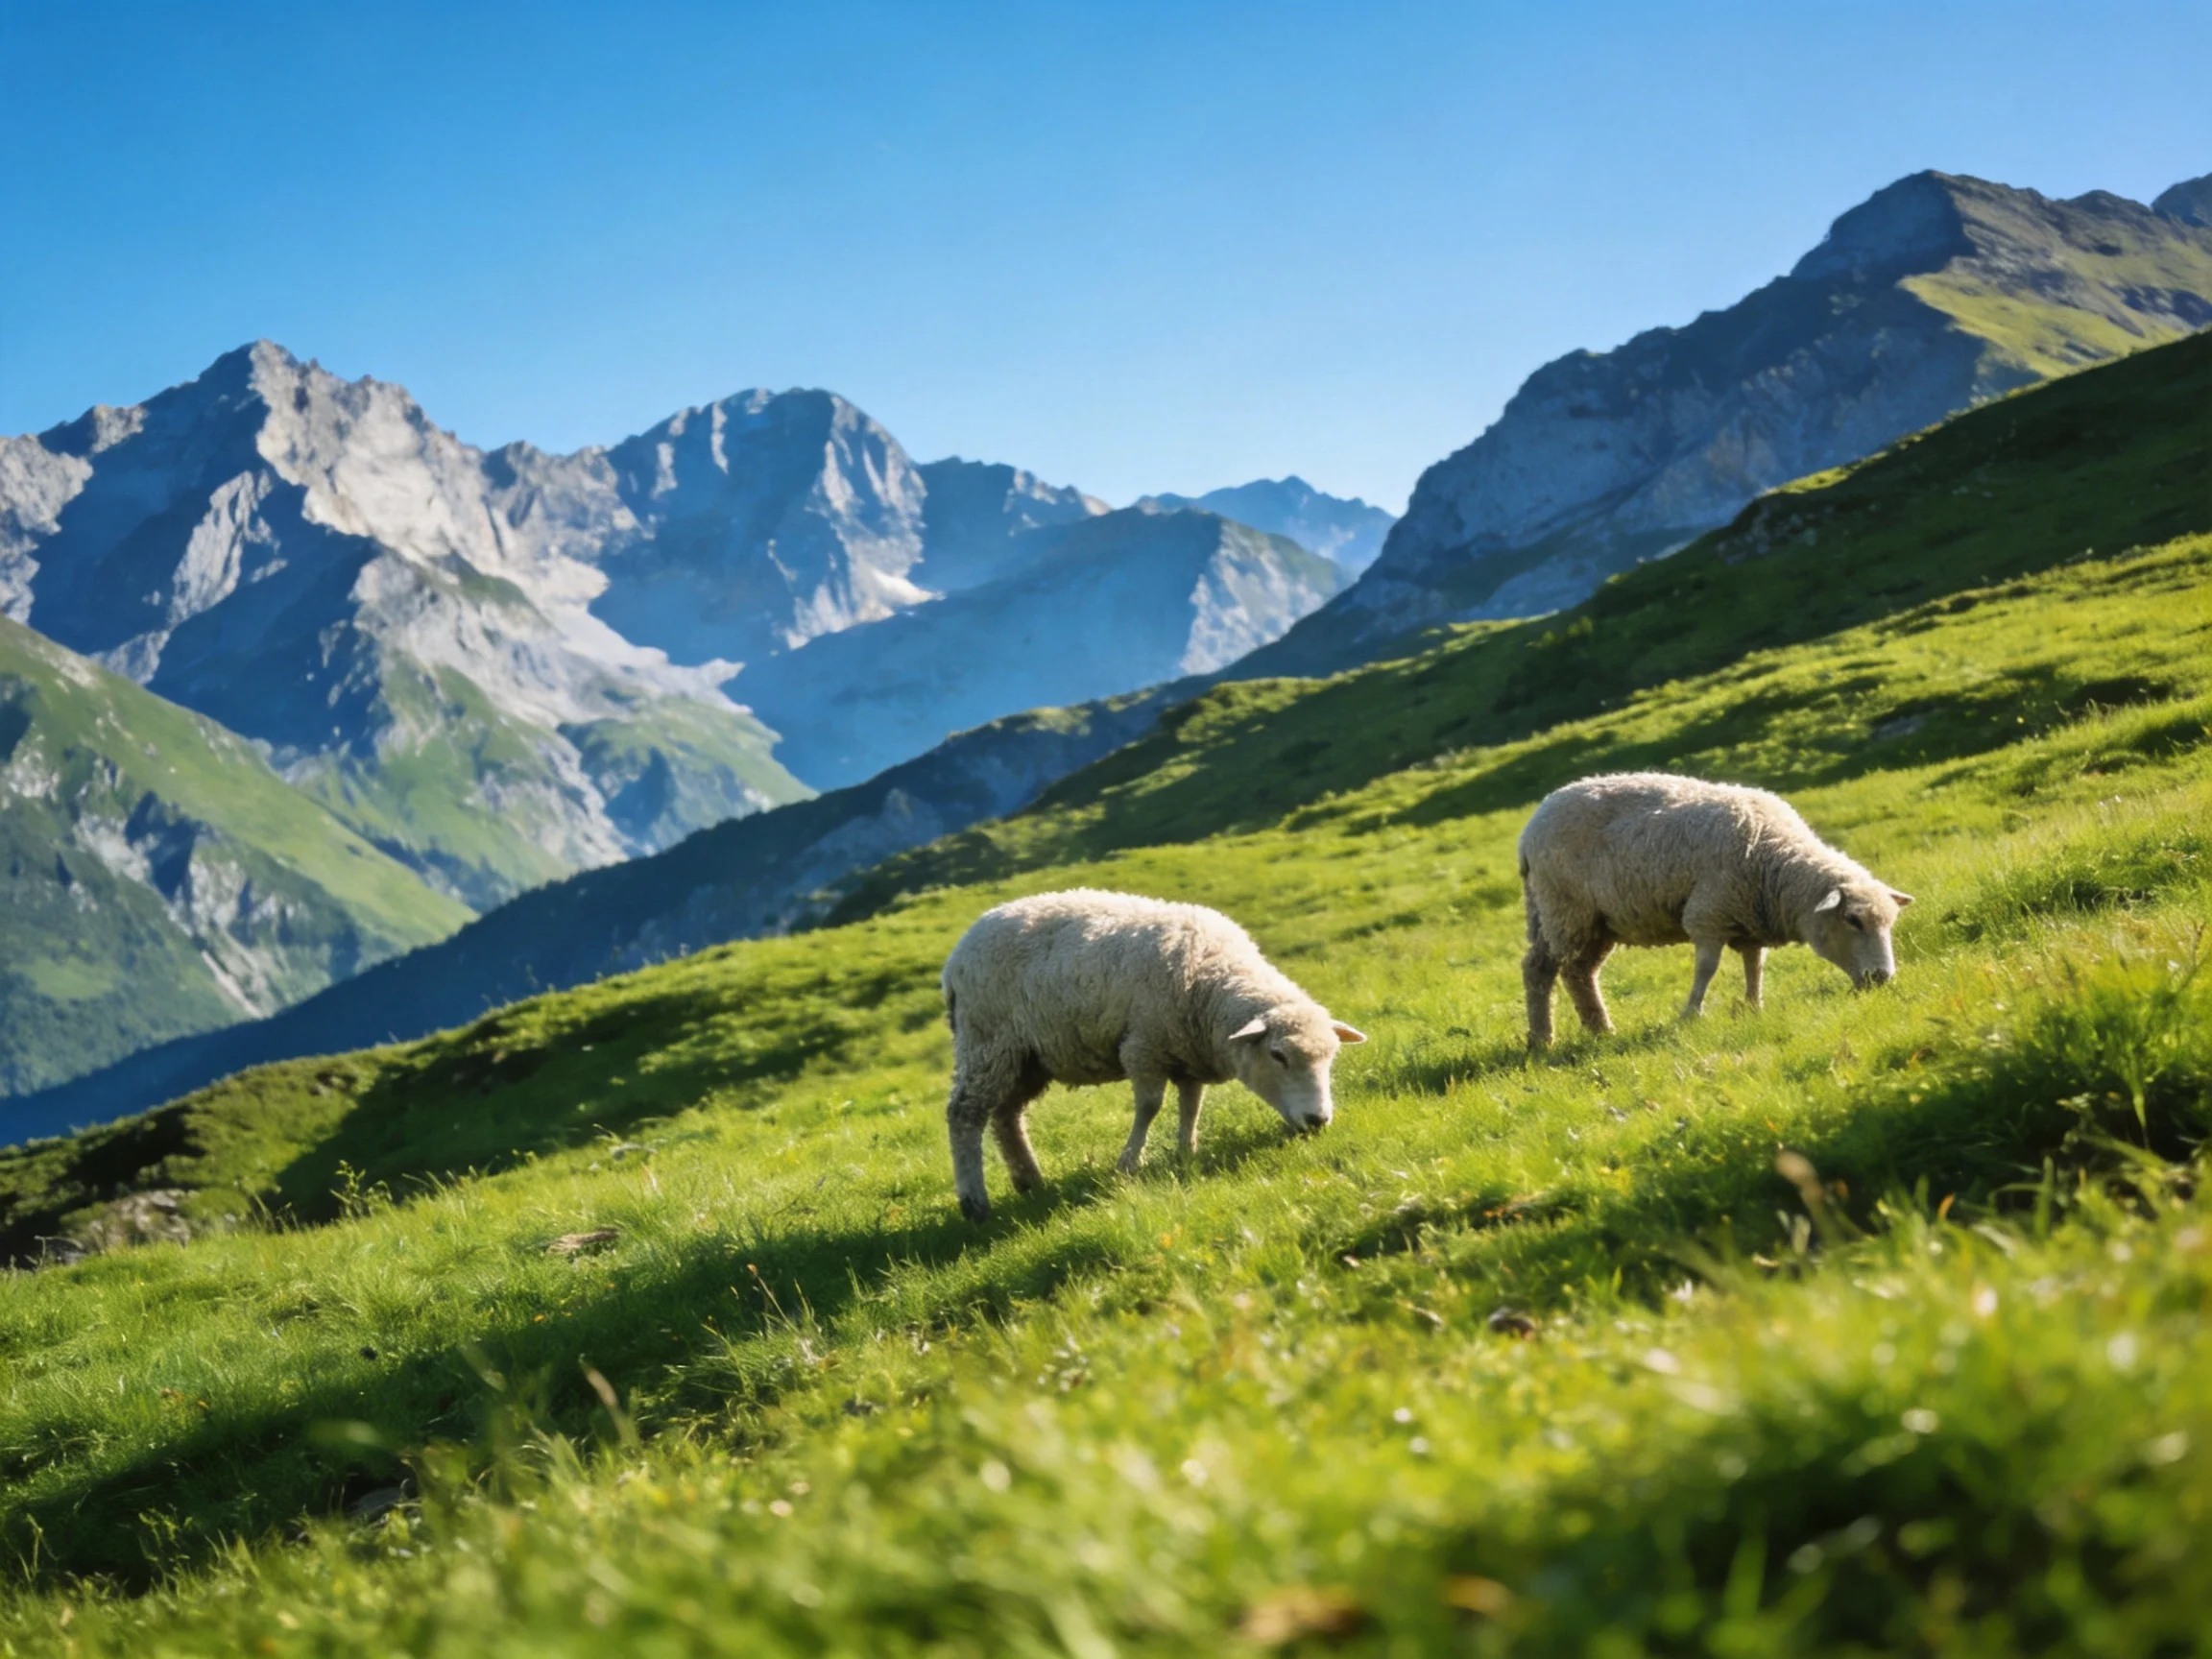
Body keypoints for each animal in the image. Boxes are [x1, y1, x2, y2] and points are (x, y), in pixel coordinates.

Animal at [940, 888, 1366, 1221]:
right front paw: (1129, 1163)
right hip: (986, 1040)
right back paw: (975, 1203)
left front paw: (1186, 1152)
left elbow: (1191, 1105)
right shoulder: (1143, 1046)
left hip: (1027, 1058)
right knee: (965, 1114)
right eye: (1278, 1056)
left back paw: (1029, 1181)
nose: (1318, 1120)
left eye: (1331, 1058)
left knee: (1006, 1116)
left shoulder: (1187, 1054)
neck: (1209, 979)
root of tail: (956, 956)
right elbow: (1150, 1107)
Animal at [1519, 772, 1913, 1049]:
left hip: (1589, 921)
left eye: (1889, 923)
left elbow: (1755, 965)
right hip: (1564, 908)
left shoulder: (1750, 918)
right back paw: (1544, 1040)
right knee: (1544, 969)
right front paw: (1691, 1014)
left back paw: (1598, 1030)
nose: (1882, 977)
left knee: (1575, 972)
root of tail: (1530, 828)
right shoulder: (1708, 914)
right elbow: (1706, 969)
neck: (1774, 861)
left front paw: (1754, 1006)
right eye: (1852, 920)